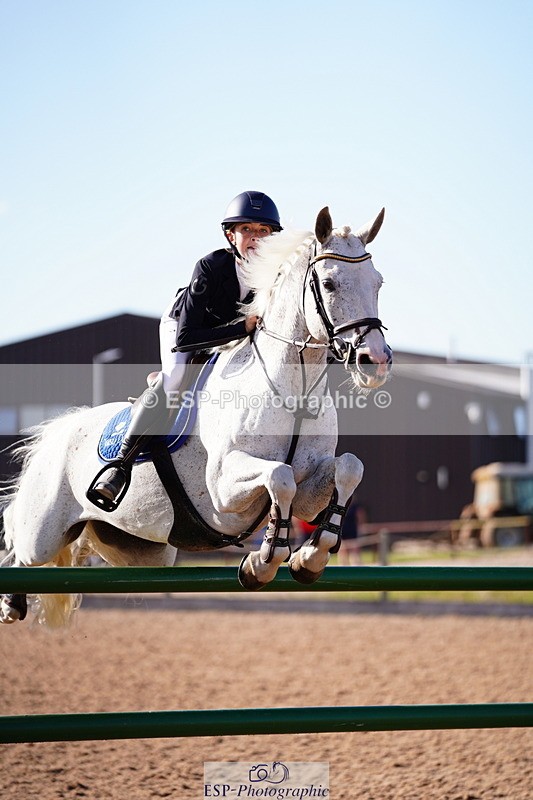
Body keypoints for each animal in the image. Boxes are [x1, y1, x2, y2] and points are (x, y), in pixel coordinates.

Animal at [0, 206, 392, 626]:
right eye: (330, 284)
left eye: (378, 283)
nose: (375, 361)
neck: (293, 391)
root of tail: (58, 430)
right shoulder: (223, 489)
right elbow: (279, 476)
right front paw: (264, 561)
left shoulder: (309, 489)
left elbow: (348, 468)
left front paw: (308, 557)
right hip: (42, 532)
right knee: (18, 543)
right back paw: (11, 601)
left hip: (142, 549)